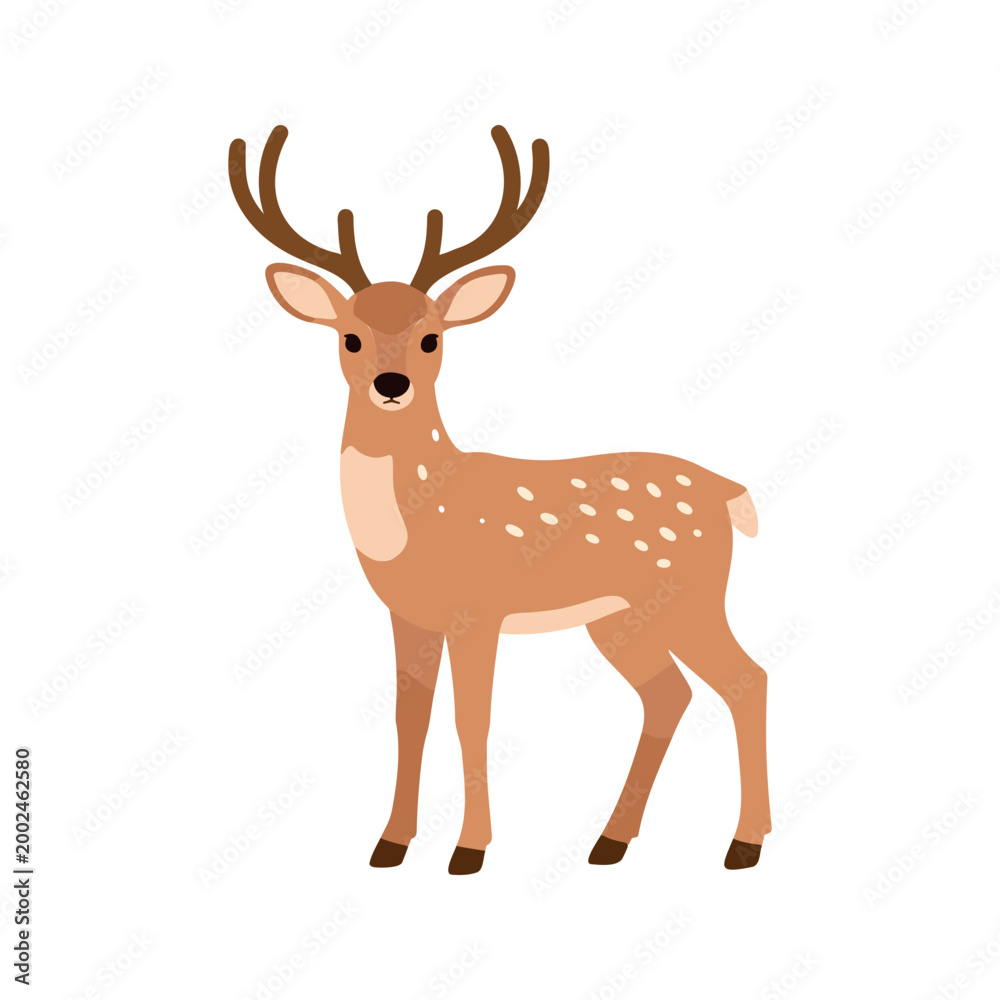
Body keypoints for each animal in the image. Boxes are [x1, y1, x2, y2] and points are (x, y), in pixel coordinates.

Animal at [228, 124, 771, 875]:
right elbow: (410, 717)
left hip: (691, 593)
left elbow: (472, 718)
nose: (392, 383)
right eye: (350, 336)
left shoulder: (477, 608)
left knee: (749, 680)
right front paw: (389, 844)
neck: (420, 515)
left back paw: (743, 845)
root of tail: (730, 494)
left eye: (432, 336)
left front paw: (470, 850)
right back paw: (610, 843)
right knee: (671, 693)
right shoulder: (409, 613)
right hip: (622, 618)